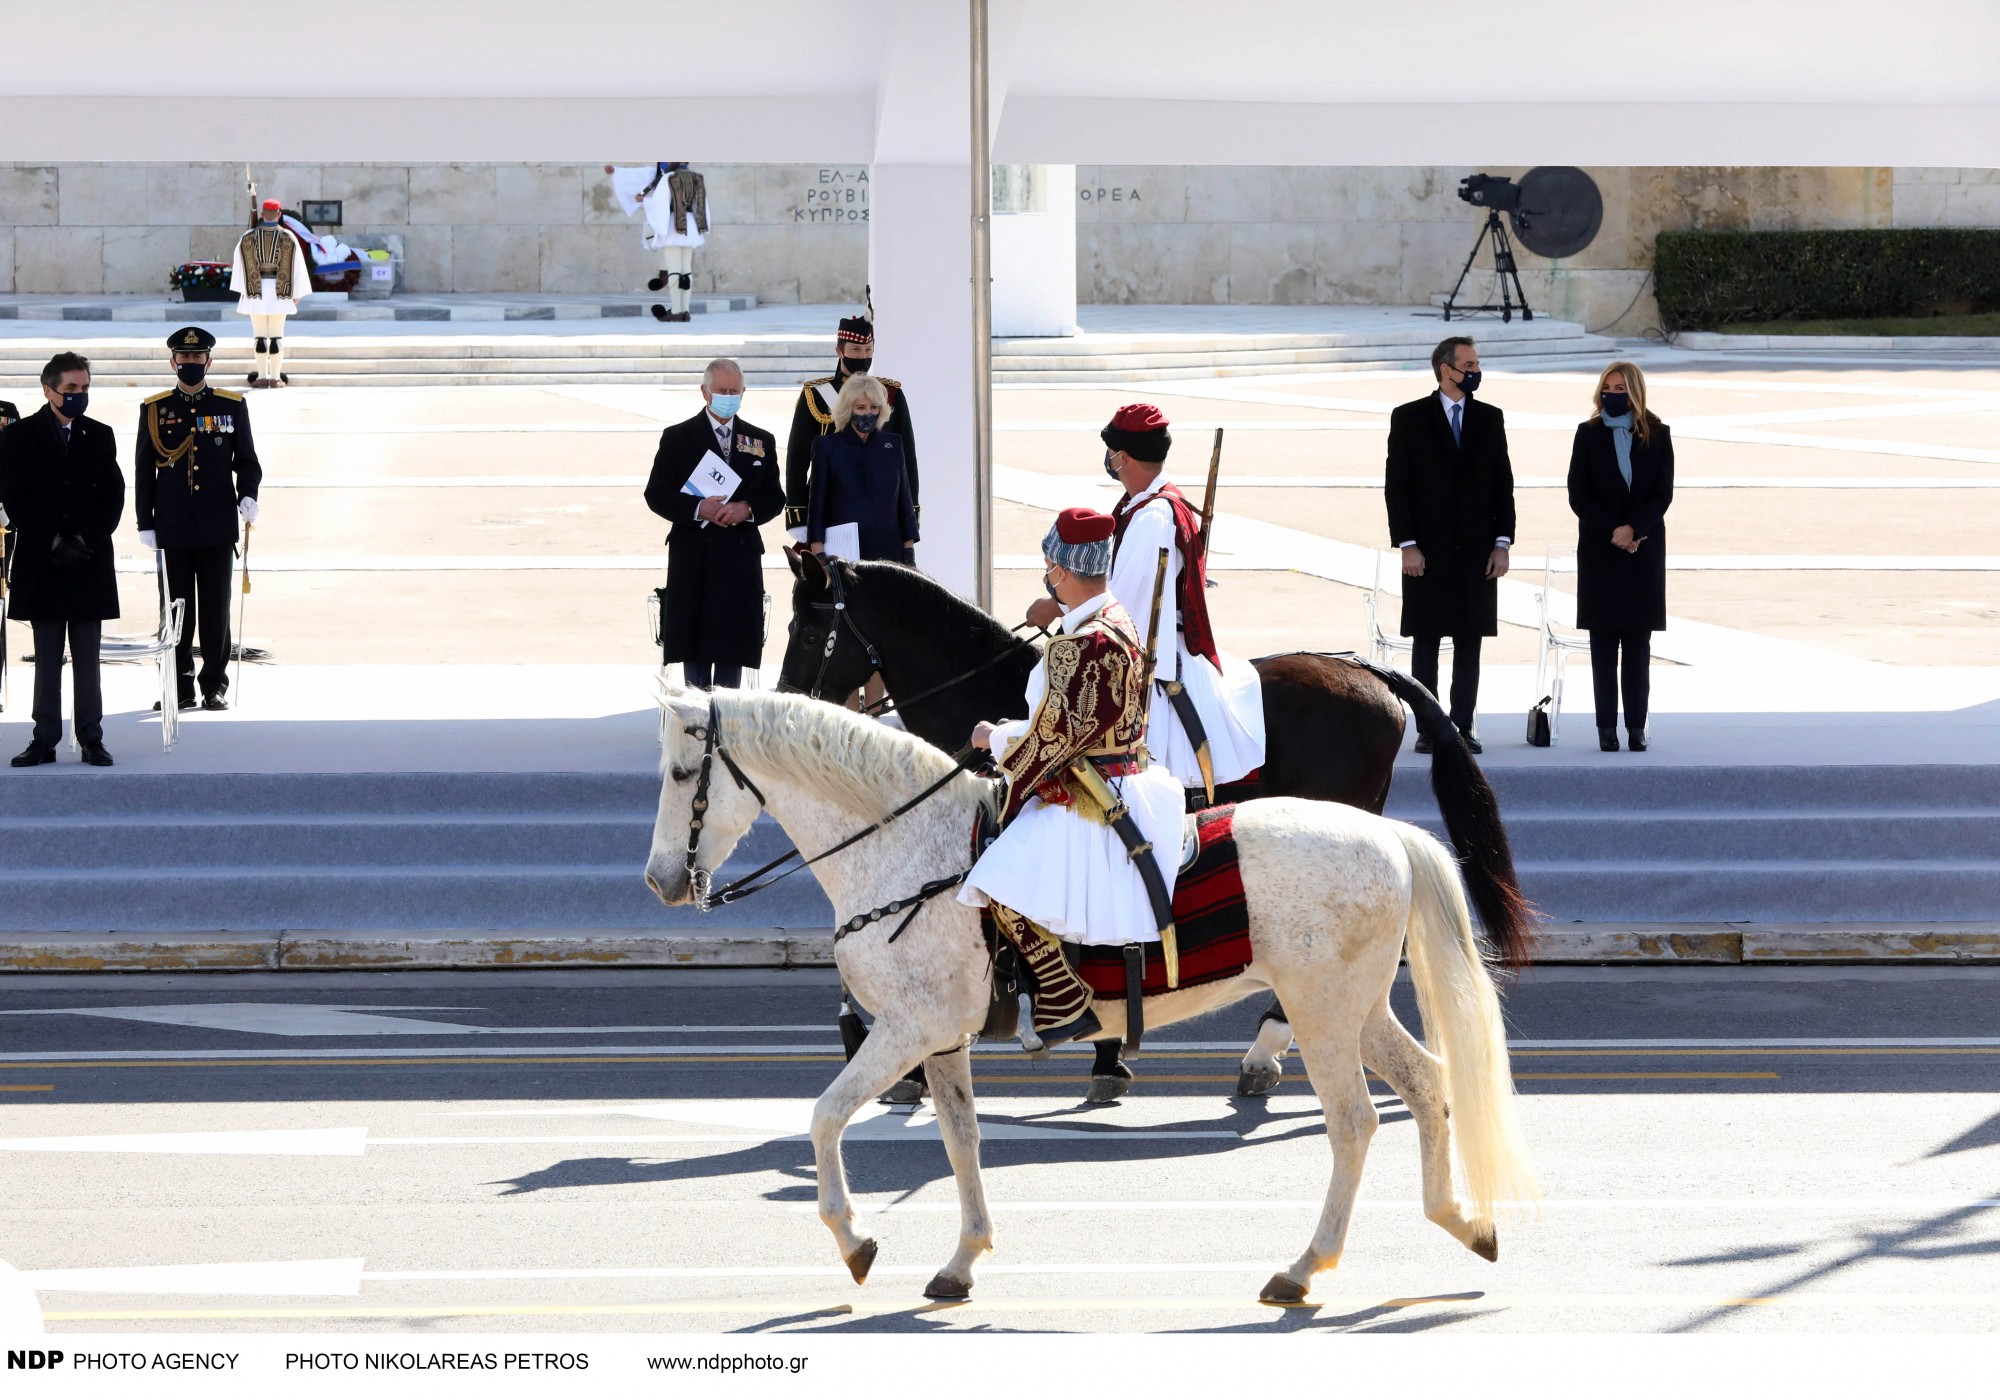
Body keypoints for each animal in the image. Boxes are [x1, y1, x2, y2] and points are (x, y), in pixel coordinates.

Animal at [648, 688, 1536, 1304]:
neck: (907, 849)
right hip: (1357, 1010)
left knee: (1353, 1123)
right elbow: (962, 1142)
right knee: (1427, 1083)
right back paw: (1466, 1221)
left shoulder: (904, 1030)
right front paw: (963, 1259)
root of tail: (1389, 834)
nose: (661, 882)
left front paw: (854, 1241)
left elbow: (825, 1117)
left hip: (1321, 1014)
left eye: (682, 772)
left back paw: (1302, 1266)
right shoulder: (942, 1040)